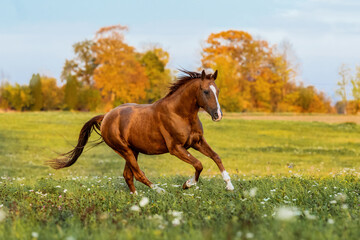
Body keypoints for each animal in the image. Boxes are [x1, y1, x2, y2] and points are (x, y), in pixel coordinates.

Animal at [49, 69, 235, 193]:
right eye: (205, 91)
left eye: (217, 91)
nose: (218, 115)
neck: (179, 113)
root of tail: (106, 116)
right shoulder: (176, 148)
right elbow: (199, 164)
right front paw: (187, 184)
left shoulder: (197, 142)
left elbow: (216, 157)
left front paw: (229, 185)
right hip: (124, 150)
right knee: (138, 174)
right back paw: (159, 191)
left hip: (133, 150)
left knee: (127, 175)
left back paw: (136, 199)